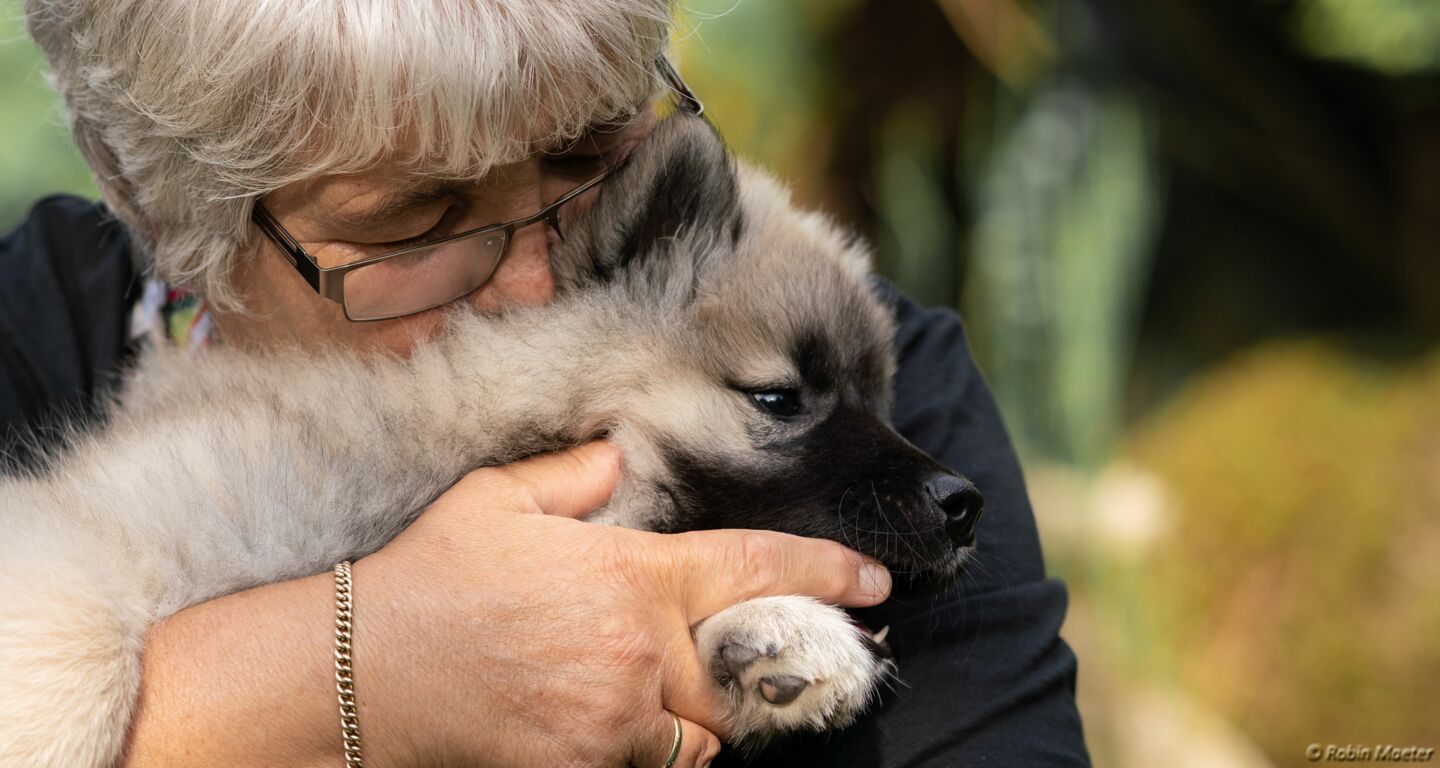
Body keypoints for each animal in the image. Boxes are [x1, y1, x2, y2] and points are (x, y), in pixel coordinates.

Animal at [0, 113, 979, 766]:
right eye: (779, 398)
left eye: (883, 402)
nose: (966, 503)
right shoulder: (87, 543)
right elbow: (77, 685)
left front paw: (782, 632)